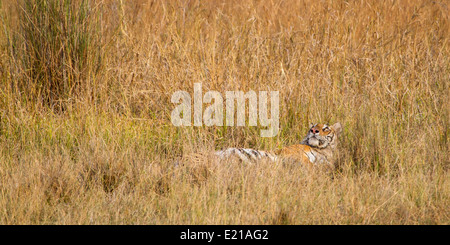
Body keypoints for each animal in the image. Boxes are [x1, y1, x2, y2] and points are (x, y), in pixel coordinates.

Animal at [214, 123, 342, 169]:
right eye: (313, 126)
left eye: (325, 128)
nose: (313, 130)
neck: (322, 150)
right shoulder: (293, 154)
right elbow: (308, 163)